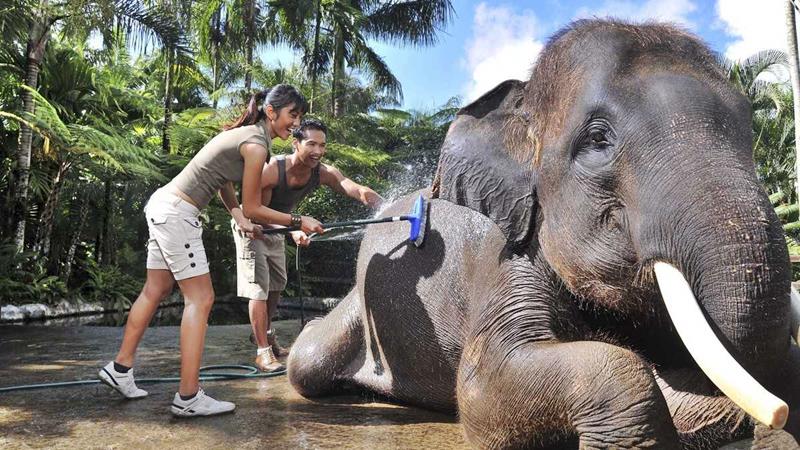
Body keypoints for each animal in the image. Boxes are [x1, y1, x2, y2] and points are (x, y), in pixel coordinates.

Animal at [287, 19, 800, 449]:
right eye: (597, 140)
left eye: (749, 129)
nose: (776, 415)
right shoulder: (504, 257)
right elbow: (482, 386)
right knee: (307, 362)